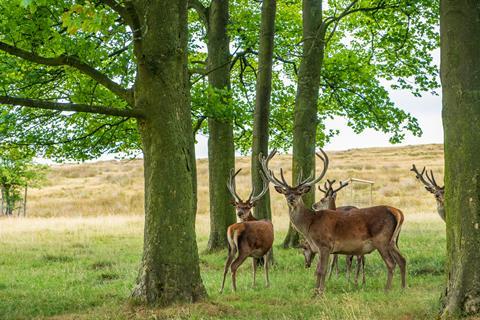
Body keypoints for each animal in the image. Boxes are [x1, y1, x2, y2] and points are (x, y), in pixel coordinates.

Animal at [258, 149, 404, 296]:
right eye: (285, 192)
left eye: (299, 192)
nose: (291, 199)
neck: (309, 226)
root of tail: (397, 212)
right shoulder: (319, 248)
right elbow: (318, 270)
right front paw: (315, 292)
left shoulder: (325, 245)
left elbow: (321, 270)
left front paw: (320, 293)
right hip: (392, 242)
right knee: (402, 260)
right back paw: (404, 287)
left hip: (381, 239)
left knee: (391, 263)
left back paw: (387, 290)